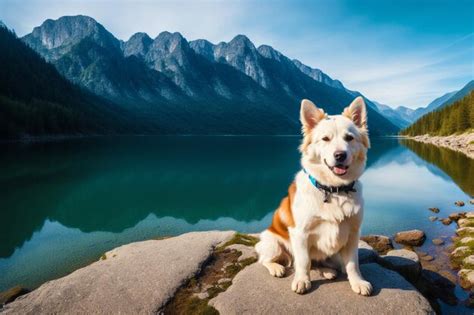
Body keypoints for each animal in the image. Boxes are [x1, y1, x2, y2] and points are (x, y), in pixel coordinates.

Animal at [254, 96, 372, 296]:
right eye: (325, 139)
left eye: (349, 138)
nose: (340, 155)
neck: (334, 189)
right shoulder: (300, 233)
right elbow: (303, 261)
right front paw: (302, 280)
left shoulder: (353, 233)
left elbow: (352, 264)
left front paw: (357, 282)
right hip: (272, 241)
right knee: (265, 260)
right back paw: (276, 268)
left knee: (323, 263)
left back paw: (327, 271)